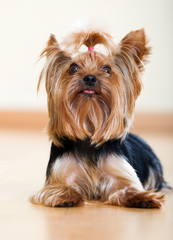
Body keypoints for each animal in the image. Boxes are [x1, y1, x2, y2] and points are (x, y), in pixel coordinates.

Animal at [30, 26, 168, 208]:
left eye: (107, 69)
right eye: (73, 68)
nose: (89, 78)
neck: (90, 126)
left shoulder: (120, 172)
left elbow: (128, 188)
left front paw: (142, 198)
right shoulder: (60, 174)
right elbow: (58, 188)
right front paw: (66, 196)